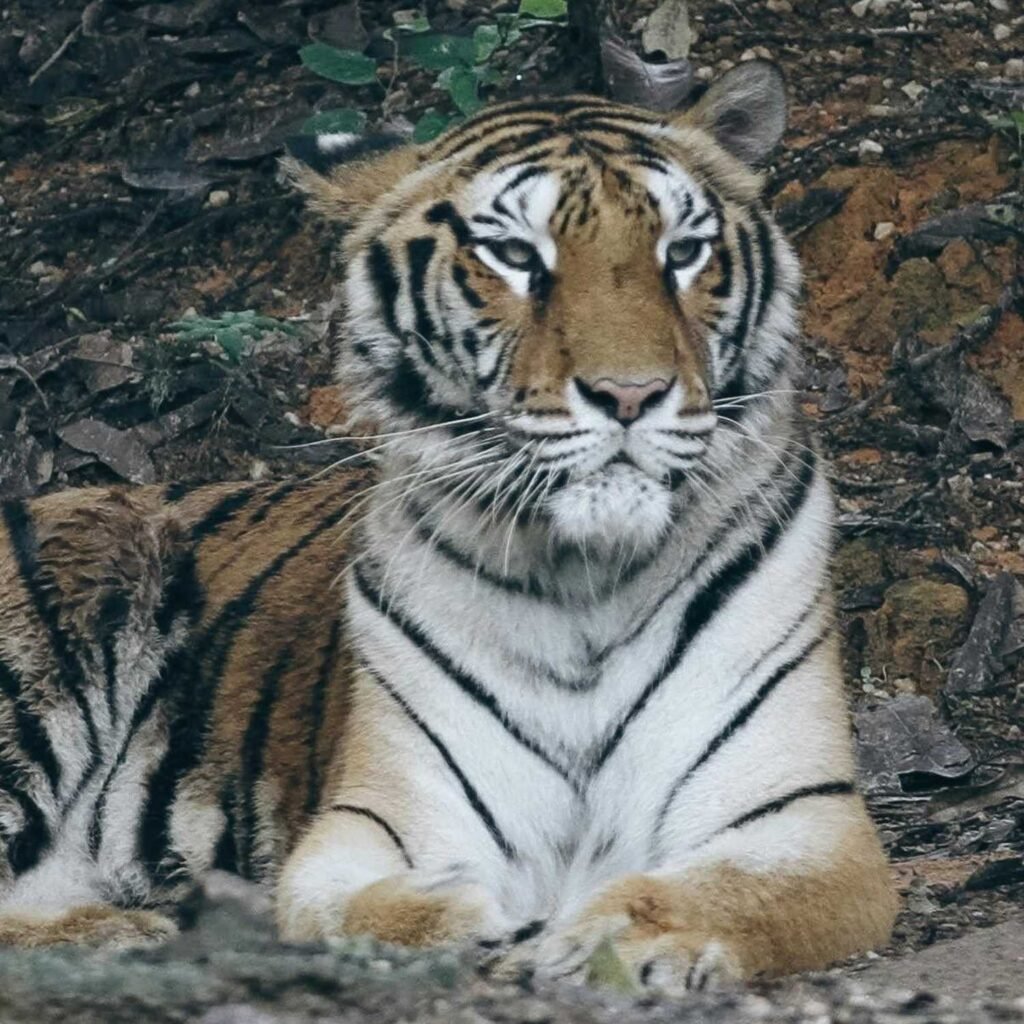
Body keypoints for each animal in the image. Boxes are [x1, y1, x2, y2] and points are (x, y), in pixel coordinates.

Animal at [0, 60, 897, 988]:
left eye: (682, 253)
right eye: (516, 256)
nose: (631, 394)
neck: (588, 580)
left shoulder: (805, 823)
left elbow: (700, 894)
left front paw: (610, 939)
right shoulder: (377, 820)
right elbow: (355, 909)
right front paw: (479, 924)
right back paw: (123, 931)